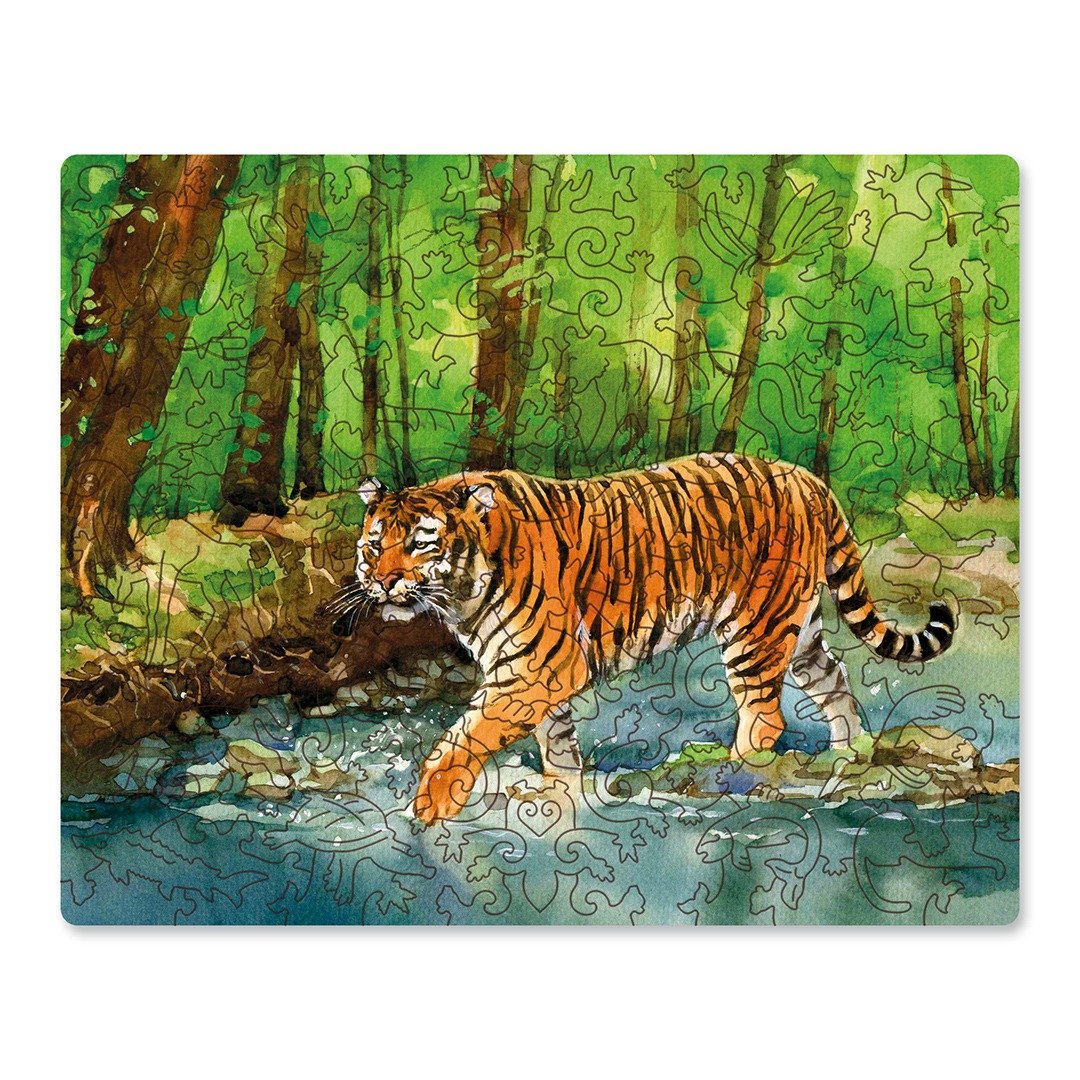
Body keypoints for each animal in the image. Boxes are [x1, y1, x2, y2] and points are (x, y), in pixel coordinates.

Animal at [325, 453, 956, 824]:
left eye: (421, 543)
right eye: (373, 544)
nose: (382, 581)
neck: (461, 595)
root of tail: (808, 477)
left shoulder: (539, 667)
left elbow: (465, 734)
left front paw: (429, 806)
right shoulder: (532, 672)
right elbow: (556, 741)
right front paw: (560, 793)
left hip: (755, 628)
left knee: (766, 718)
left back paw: (725, 773)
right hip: (797, 632)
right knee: (835, 681)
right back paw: (848, 757)